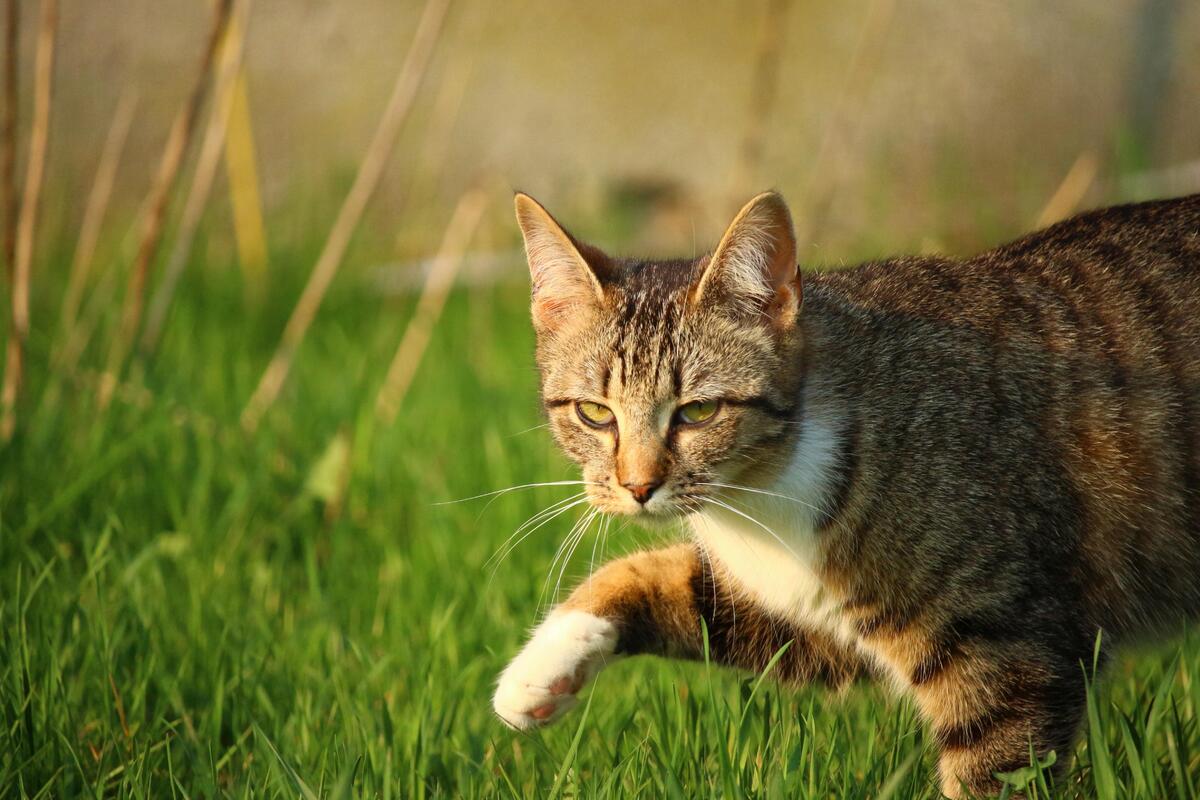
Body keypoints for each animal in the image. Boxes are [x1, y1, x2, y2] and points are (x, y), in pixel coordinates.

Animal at [489, 188, 1200, 796]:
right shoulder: (807, 615)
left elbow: (994, 769)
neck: (763, 493)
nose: (638, 487)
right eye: (594, 413)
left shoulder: (1009, 646)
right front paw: (538, 671)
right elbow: (666, 581)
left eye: (698, 412)